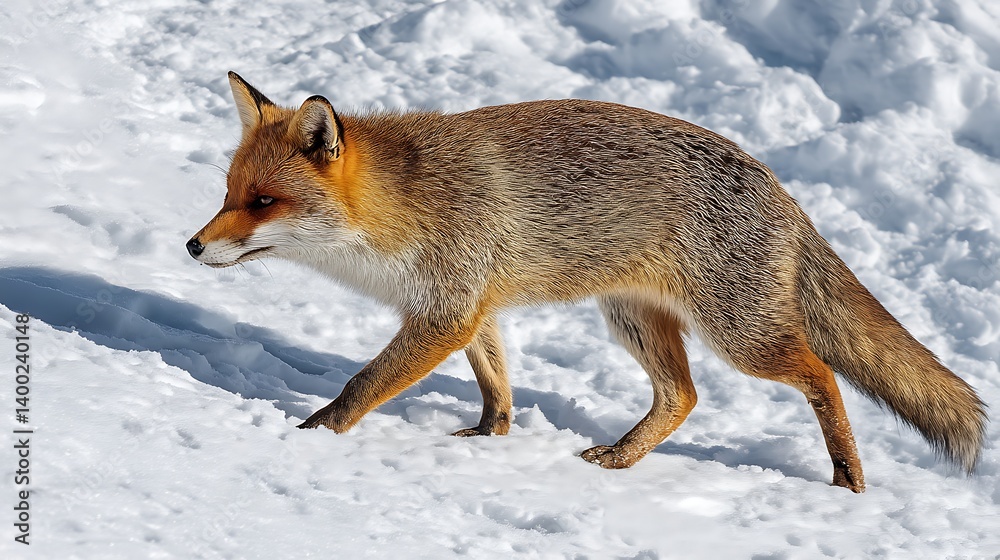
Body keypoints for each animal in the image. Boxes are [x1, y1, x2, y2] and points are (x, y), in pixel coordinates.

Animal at [187, 71, 987, 493]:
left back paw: (847, 476)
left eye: (264, 202)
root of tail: (779, 187)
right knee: (683, 396)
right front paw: (488, 439)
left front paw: (309, 435)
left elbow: (361, 386)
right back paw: (620, 459)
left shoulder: (445, 311)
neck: (404, 207)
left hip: (740, 335)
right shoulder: (473, 308)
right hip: (632, 320)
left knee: (820, 374)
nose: (192, 246)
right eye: (229, 192)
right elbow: (497, 387)